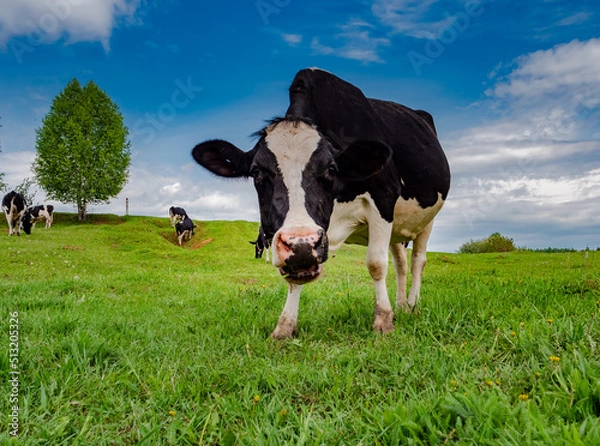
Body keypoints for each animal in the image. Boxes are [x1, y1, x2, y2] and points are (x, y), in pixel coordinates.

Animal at [192, 69, 450, 338]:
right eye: (256, 172)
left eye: (331, 169)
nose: (302, 243)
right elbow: (294, 278)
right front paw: (284, 327)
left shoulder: (383, 198)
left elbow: (376, 263)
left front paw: (383, 321)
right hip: (398, 228)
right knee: (400, 262)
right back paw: (401, 306)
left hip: (428, 219)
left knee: (417, 260)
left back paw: (413, 305)